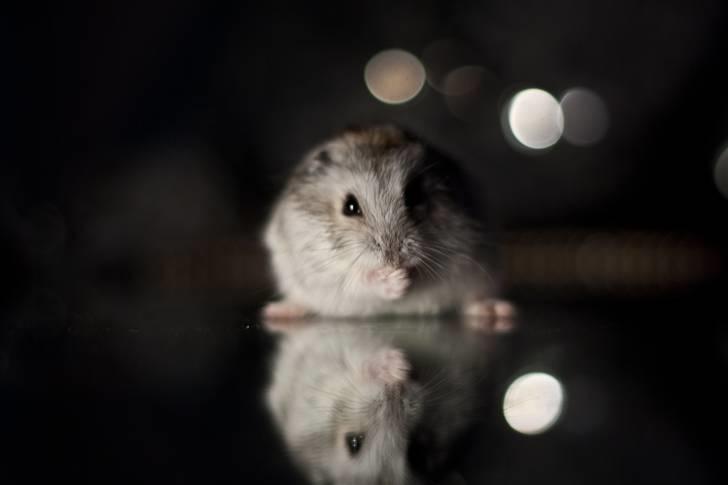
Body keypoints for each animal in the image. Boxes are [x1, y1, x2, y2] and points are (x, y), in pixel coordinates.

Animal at [262, 124, 514, 319]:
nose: (394, 259)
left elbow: (429, 273)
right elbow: (357, 280)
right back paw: (279, 312)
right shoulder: (319, 267)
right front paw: (395, 282)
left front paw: (406, 276)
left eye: (414, 197)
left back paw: (499, 310)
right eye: (350, 207)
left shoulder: (459, 251)